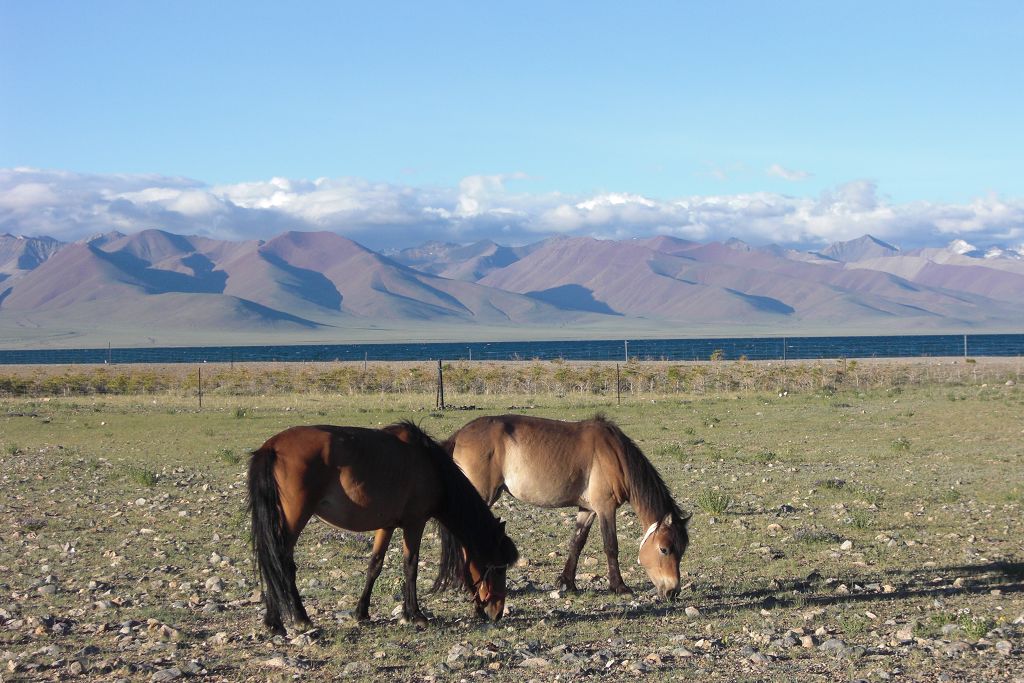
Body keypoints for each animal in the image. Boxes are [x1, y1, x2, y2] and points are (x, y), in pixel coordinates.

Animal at [247, 421, 520, 634]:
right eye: (498, 568)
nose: (497, 612)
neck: (431, 467)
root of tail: (272, 447)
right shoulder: (414, 523)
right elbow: (410, 566)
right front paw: (415, 615)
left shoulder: (386, 526)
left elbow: (375, 565)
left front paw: (361, 612)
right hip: (293, 520)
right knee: (280, 563)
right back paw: (299, 618)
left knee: (272, 562)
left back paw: (274, 622)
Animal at [446, 411, 692, 598]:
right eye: (664, 549)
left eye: (682, 550)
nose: (673, 591)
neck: (615, 455)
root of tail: (460, 435)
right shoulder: (605, 508)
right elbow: (611, 546)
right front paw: (619, 586)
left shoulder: (588, 509)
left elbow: (577, 543)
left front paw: (568, 583)